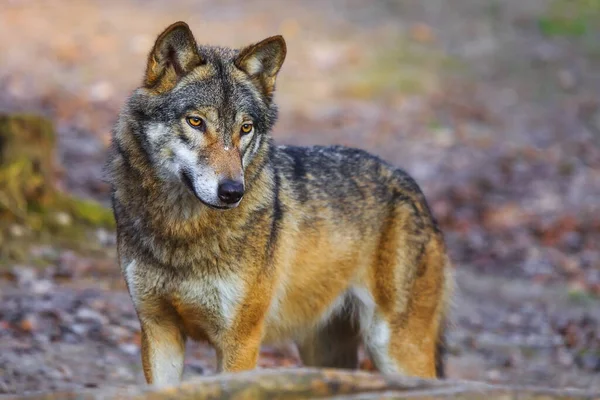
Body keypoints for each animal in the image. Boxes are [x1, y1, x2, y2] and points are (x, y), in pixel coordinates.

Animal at [106, 20, 454, 386]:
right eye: (196, 121)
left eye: (245, 128)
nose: (233, 191)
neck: (181, 230)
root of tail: (412, 187)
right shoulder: (158, 330)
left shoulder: (241, 340)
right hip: (325, 352)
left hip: (395, 349)